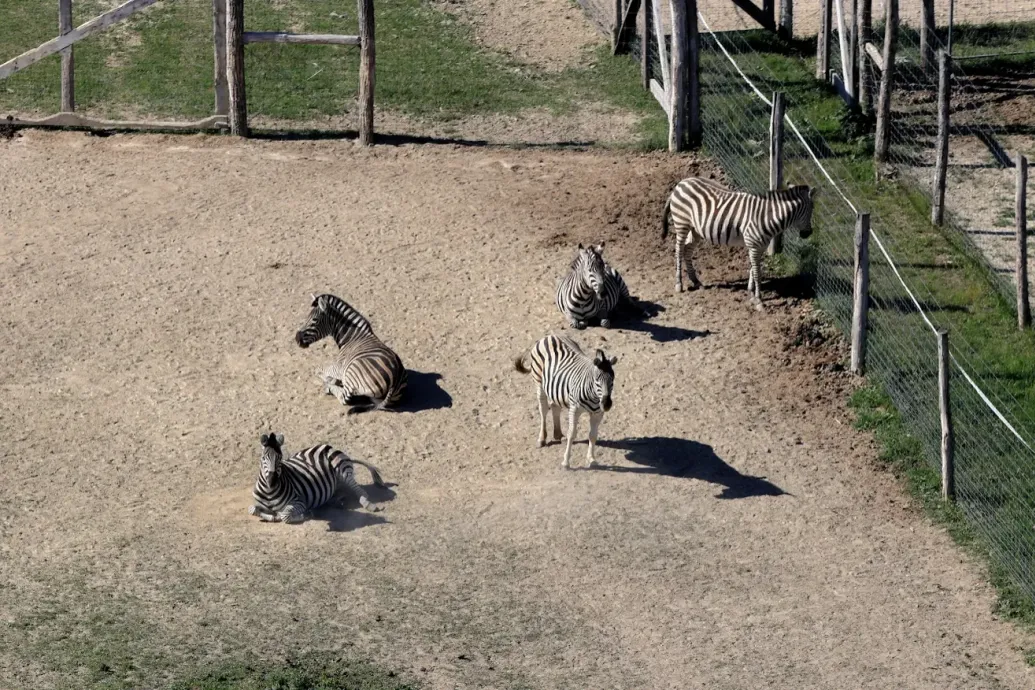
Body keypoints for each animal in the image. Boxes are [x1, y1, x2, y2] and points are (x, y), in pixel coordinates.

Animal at [249, 432, 387, 524]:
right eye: (263, 458)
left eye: (280, 458)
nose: (272, 482)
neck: (269, 492)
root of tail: (327, 446)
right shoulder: (257, 505)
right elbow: (253, 510)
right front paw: (271, 516)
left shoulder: (299, 502)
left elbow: (285, 516)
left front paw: (305, 515)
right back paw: (336, 501)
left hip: (342, 469)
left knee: (360, 490)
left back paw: (368, 504)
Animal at [513, 334, 617, 470]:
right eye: (597, 380)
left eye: (612, 379)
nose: (606, 404)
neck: (594, 397)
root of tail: (550, 336)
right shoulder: (575, 409)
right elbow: (572, 434)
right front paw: (566, 462)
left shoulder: (598, 414)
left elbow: (593, 435)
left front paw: (592, 459)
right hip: (539, 382)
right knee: (543, 410)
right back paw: (541, 439)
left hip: (556, 389)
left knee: (555, 406)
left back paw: (558, 434)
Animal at [662, 177, 816, 303]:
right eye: (812, 209)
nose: (808, 234)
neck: (766, 217)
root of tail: (681, 183)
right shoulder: (754, 245)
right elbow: (757, 271)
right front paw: (758, 299)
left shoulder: (759, 246)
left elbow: (753, 268)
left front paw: (751, 290)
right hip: (682, 224)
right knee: (679, 250)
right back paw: (679, 284)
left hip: (695, 230)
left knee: (687, 250)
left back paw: (696, 281)